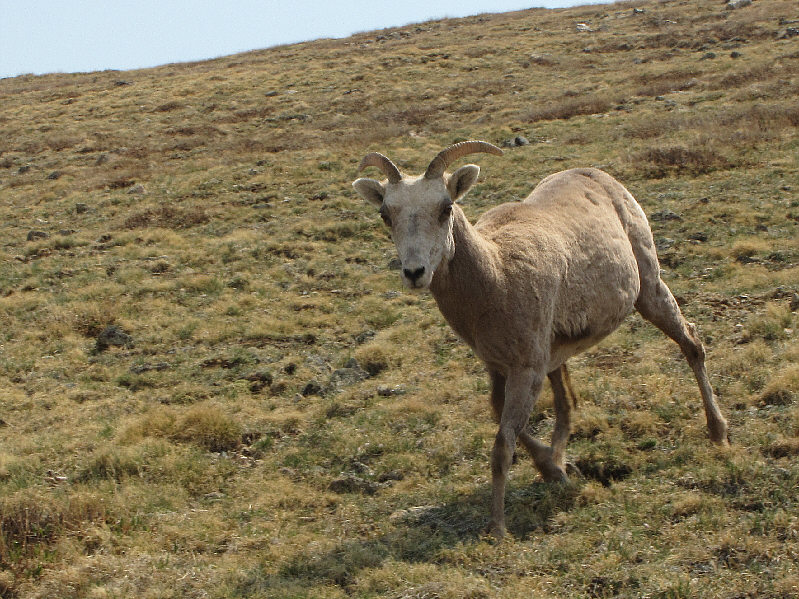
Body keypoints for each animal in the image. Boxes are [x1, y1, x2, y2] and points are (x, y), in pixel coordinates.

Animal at [352, 141, 729, 538]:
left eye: (446, 207)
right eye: (385, 214)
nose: (414, 272)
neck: (496, 274)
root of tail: (597, 175)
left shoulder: (527, 368)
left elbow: (503, 443)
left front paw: (498, 529)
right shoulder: (500, 366)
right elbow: (499, 413)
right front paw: (553, 470)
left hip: (650, 289)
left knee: (691, 343)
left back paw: (719, 433)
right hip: (558, 348)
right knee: (567, 402)